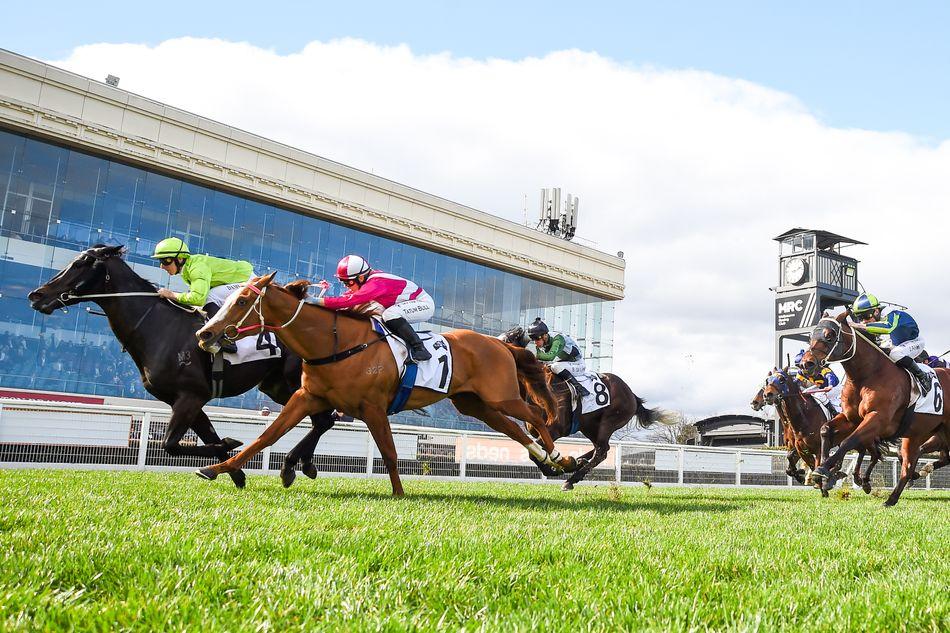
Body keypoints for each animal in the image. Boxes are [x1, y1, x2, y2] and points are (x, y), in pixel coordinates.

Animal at [26, 244, 336, 486]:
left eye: (80, 263)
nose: (36, 295)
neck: (157, 327)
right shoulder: (186, 399)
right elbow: (206, 437)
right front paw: (233, 472)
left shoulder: (190, 396)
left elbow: (171, 445)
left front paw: (230, 447)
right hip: (278, 386)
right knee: (322, 420)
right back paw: (302, 464)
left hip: (296, 384)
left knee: (324, 420)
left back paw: (296, 465)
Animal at [193, 272, 580, 494]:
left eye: (242, 300)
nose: (205, 333)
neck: (335, 344)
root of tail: (500, 343)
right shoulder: (307, 397)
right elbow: (267, 436)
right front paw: (217, 469)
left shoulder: (373, 408)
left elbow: (390, 453)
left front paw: (398, 493)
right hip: (475, 404)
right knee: (513, 428)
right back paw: (548, 459)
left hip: (500, 396)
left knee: (534, 415)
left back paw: (559, 456)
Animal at [494, 326, 672, 488]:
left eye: (510, 339)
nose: (519, 329)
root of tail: (631, 394)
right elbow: (538, 452)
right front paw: (562, 465)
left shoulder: (556, 428)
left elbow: (536, 453)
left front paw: (557, 469)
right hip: (589, 426)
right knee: (601, 447)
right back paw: (578, 462)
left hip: (610, 421)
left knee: (601, 450)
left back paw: (571, 479)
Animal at [804, 308, 950, 506]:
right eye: (811, 334)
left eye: (829, 335)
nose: (806, 363)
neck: (868, 374)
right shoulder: (851, 418)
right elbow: (826, 430)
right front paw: (826, 475)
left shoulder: (878, 418)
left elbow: (848, 441)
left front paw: (825, 470)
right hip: (920, 433)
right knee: (909, 465)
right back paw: (892, 499)